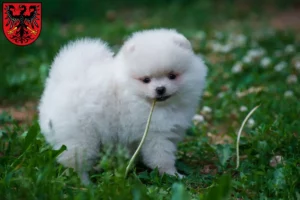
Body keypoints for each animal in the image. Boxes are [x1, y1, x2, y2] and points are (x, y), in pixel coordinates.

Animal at [38, 28, 207, 184]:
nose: (160, 89)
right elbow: (161, 157)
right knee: (75, 161)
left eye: (172, 76)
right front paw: (173, 175)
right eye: (146, 79)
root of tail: (60, 82)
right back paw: (84, 183)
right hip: (81, 136)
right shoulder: (156, 134)